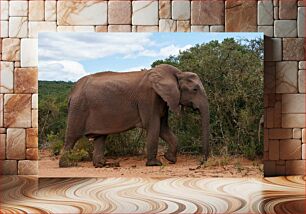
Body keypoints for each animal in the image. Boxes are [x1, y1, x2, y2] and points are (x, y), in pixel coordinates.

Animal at [58, 64, 209, 168]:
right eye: (194, 89)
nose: (201, 162)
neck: (177, 73)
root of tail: (72, 93)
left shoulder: (162, 100)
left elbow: (163, 128)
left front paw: (170, 159)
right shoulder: (148, 98)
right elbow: (154, 126)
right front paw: (155, 164)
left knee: (100, 137)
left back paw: (104, 165)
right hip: (78, 108)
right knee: (72, 137)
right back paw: (68, 165)